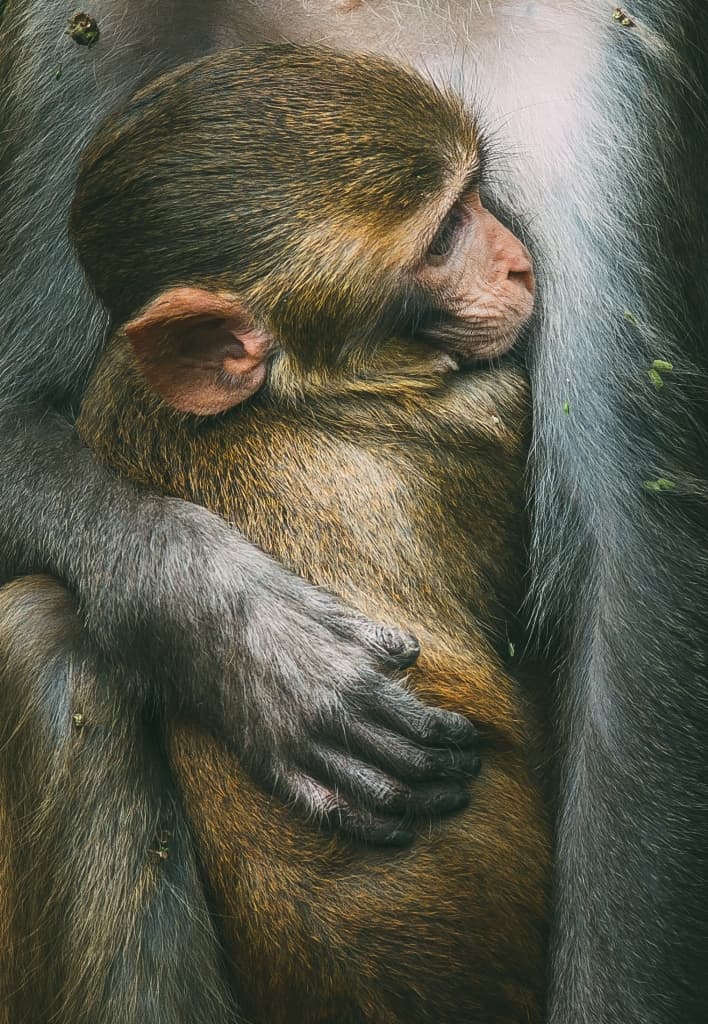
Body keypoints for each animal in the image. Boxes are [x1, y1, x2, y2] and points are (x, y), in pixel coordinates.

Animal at [0, 4, 706, 1024]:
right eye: (443, 235)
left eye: (475, 200)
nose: (516, 264)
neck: (300, 387)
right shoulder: (483, 402)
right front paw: (240, 640)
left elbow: (629, 578)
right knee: (38, 633)